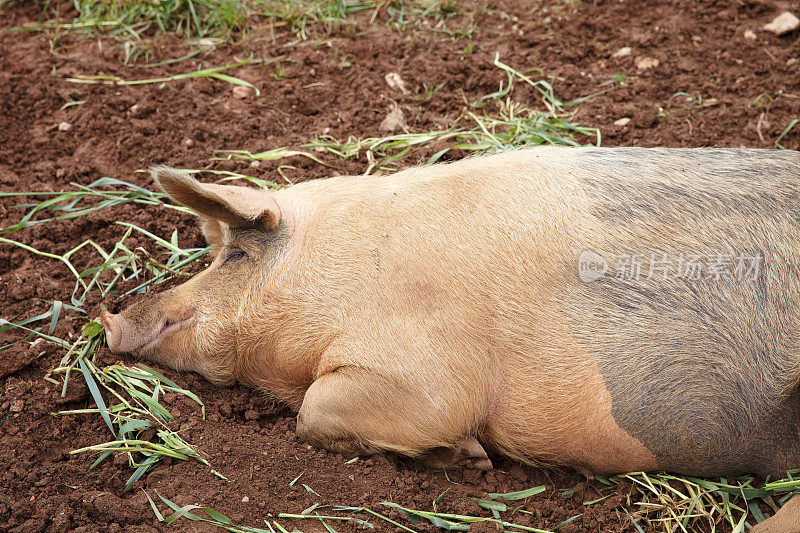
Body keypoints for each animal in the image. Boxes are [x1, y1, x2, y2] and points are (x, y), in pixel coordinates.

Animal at [103, 149, 800, 532]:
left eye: (235, 255)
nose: (111, 320)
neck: (341, 273)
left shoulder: (421, 373)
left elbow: (314, 413)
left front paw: (472, 459)